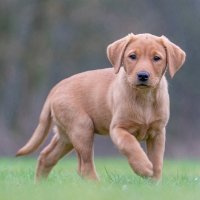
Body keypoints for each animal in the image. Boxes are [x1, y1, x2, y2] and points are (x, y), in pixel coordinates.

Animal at [16, 33, 186, 182]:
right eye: (132, 56)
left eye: (157, 58)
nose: (143, 75)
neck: (144, 98)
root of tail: (55, 88)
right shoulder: (117, 129)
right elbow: (130, 144)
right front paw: (143, 167)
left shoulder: (158, 133)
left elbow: (157, 162)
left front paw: (154, 184)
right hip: (82, 127)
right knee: (84, 167)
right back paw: (99, 186)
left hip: (66, 135)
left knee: (46, 156)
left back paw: (39, 186)